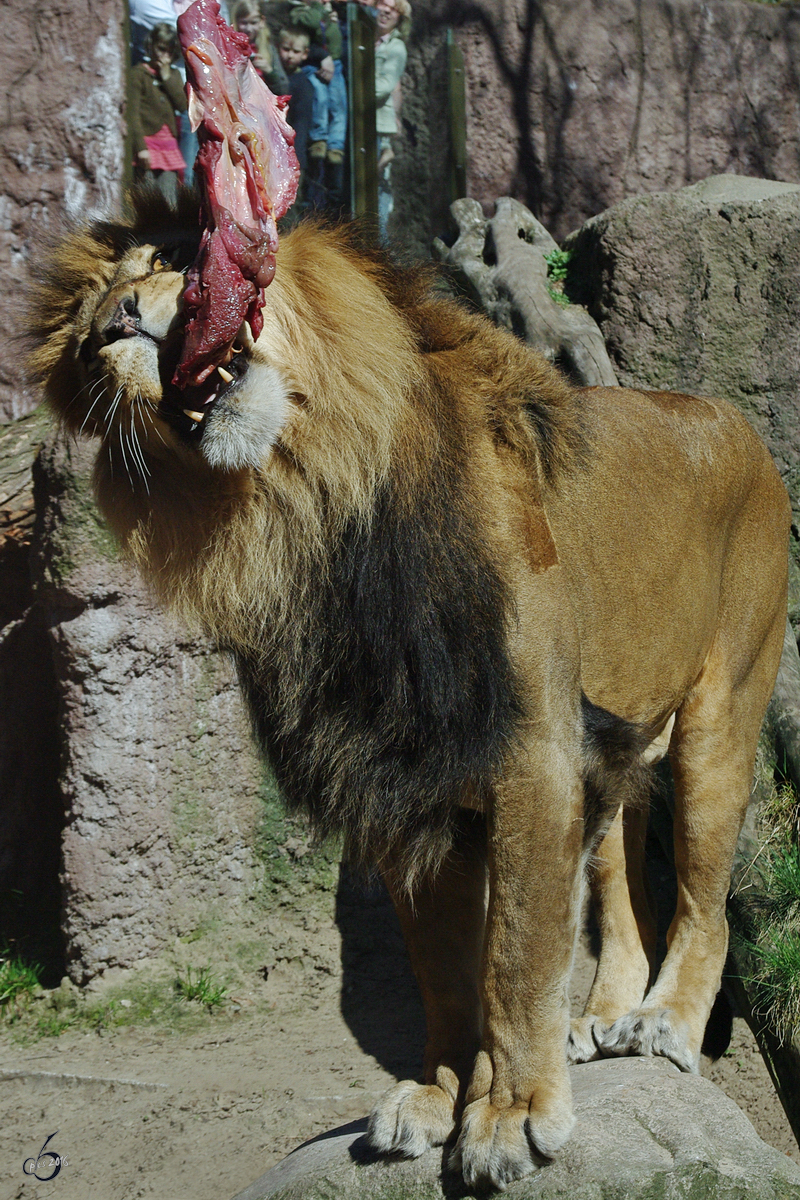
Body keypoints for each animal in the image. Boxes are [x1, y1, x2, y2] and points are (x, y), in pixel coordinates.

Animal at [29, 189, 786, 1190]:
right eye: (83, 348)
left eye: (169, 257)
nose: (114, 321)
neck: (313, 510)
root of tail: (730, 418)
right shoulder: (393, 769)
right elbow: (444, 968)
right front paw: (438, 1095)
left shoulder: (529, 750)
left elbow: (515, 951)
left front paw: (510, 1115)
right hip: (619, 740)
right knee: (622, 880)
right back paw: (604, 1016)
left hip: (720, 715)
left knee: (706, 901)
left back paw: (663, 1022)